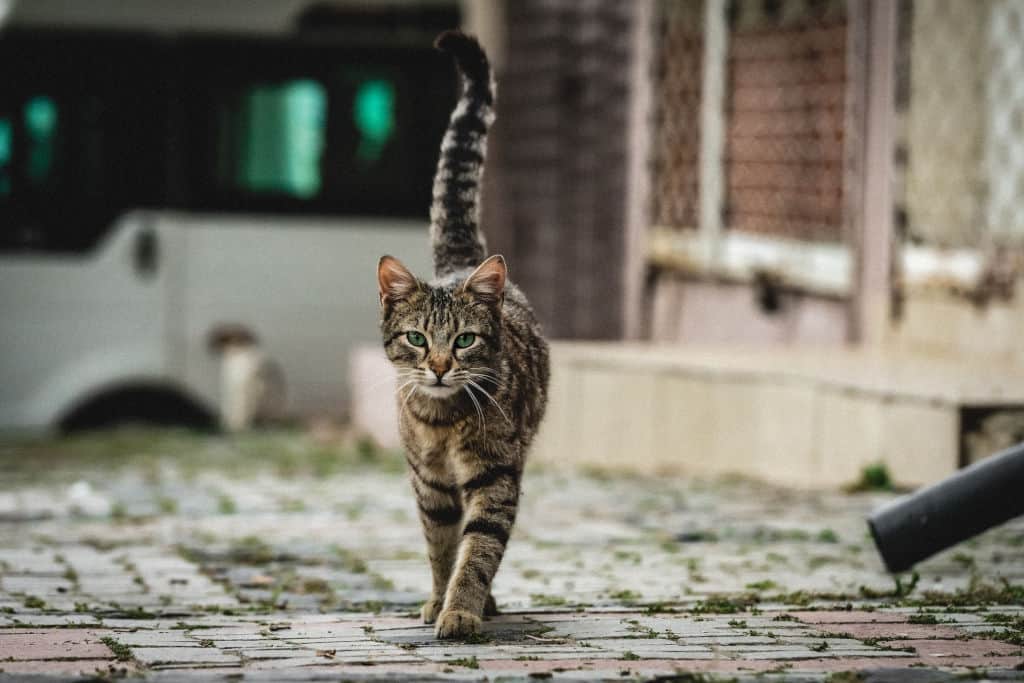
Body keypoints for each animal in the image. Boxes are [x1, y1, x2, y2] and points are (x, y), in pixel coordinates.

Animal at [374, 30, 548, 643]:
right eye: (417, 338)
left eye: (465, 341)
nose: (441, 366)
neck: (443, 422)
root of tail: (461, 264)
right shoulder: (429, 486)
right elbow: (441, 547)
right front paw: (437, 599)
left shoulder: (496, 476)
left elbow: (479, 549)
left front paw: (463, 610)